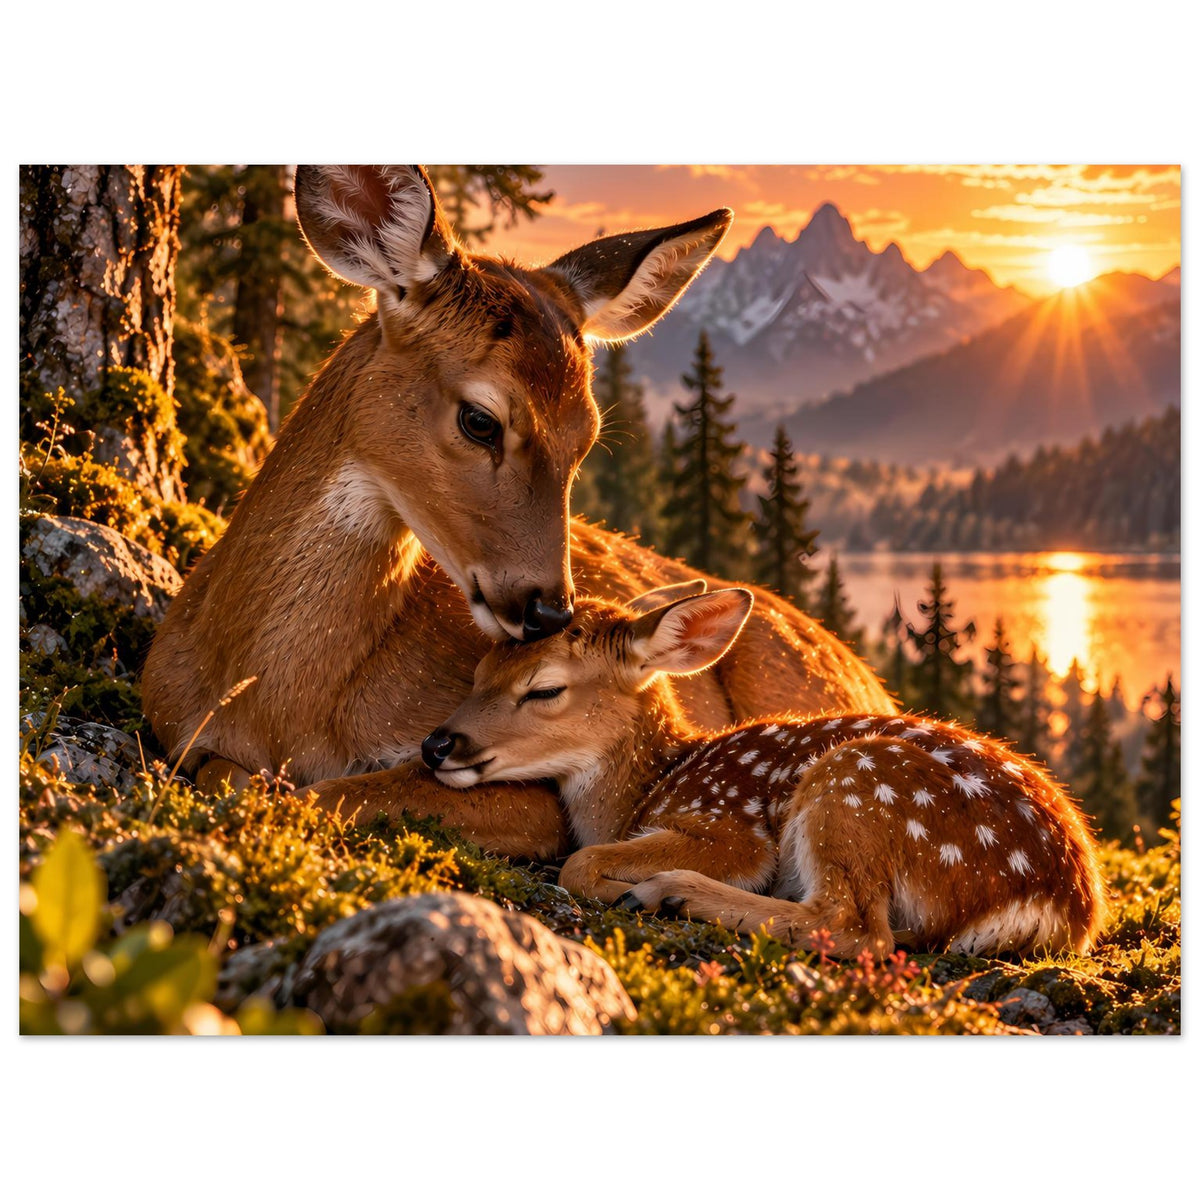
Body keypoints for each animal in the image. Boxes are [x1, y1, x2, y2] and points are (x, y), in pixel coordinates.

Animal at [142, 165, 894, 863]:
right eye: (480, 420)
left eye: (587, 436)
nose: (549, 610)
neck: (274, 702)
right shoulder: (171, 719)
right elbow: (227, 774)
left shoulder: (528, 792)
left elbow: (331, 792)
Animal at [423, 584, 1107, 957]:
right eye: (480, 669)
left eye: (544, 689)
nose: (436, 744)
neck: (647, 787)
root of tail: (1063, 906)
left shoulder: (729, 826)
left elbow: (580, 861)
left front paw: (627, 884)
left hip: (856, 785)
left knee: (855, 927)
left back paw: (671, 893)